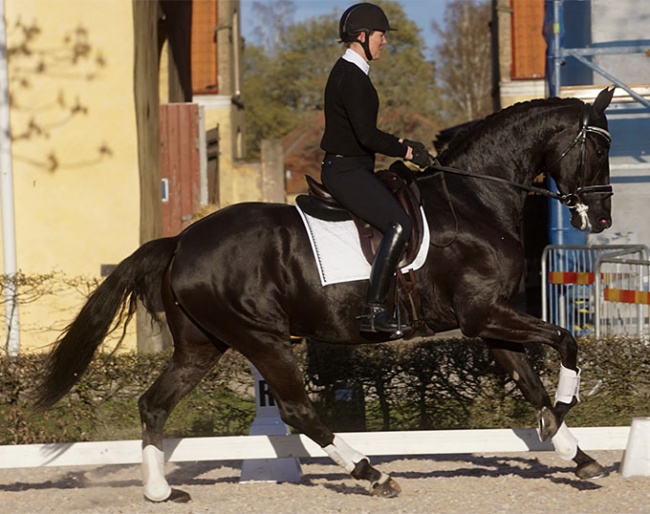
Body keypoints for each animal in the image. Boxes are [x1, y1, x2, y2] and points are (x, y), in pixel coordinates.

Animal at [34, 87, 616, 502]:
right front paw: (566, 409)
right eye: (600, 146)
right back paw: (372, 474)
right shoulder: (482, 315)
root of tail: (181, 241)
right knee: (297, 411)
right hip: (262, 338)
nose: (602, 218)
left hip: (201, 345)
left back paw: (160, 491)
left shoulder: (491, 320)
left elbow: (531, 382)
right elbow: (565, 341)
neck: (475, 197)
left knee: (154, 404)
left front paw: (574, 450)